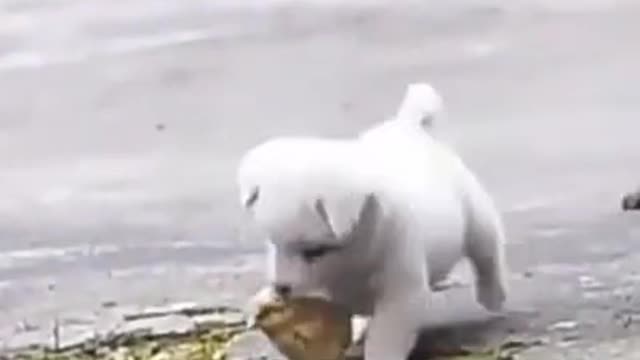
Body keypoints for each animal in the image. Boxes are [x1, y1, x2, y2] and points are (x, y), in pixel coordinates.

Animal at [235, 82, 504, 360]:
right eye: (273, 244)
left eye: (315, 251)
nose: (281, 287)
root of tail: (408, 125)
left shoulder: (400, 292)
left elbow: (386, 337)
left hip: (476, 217)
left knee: (487, 255)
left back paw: (492, 295)